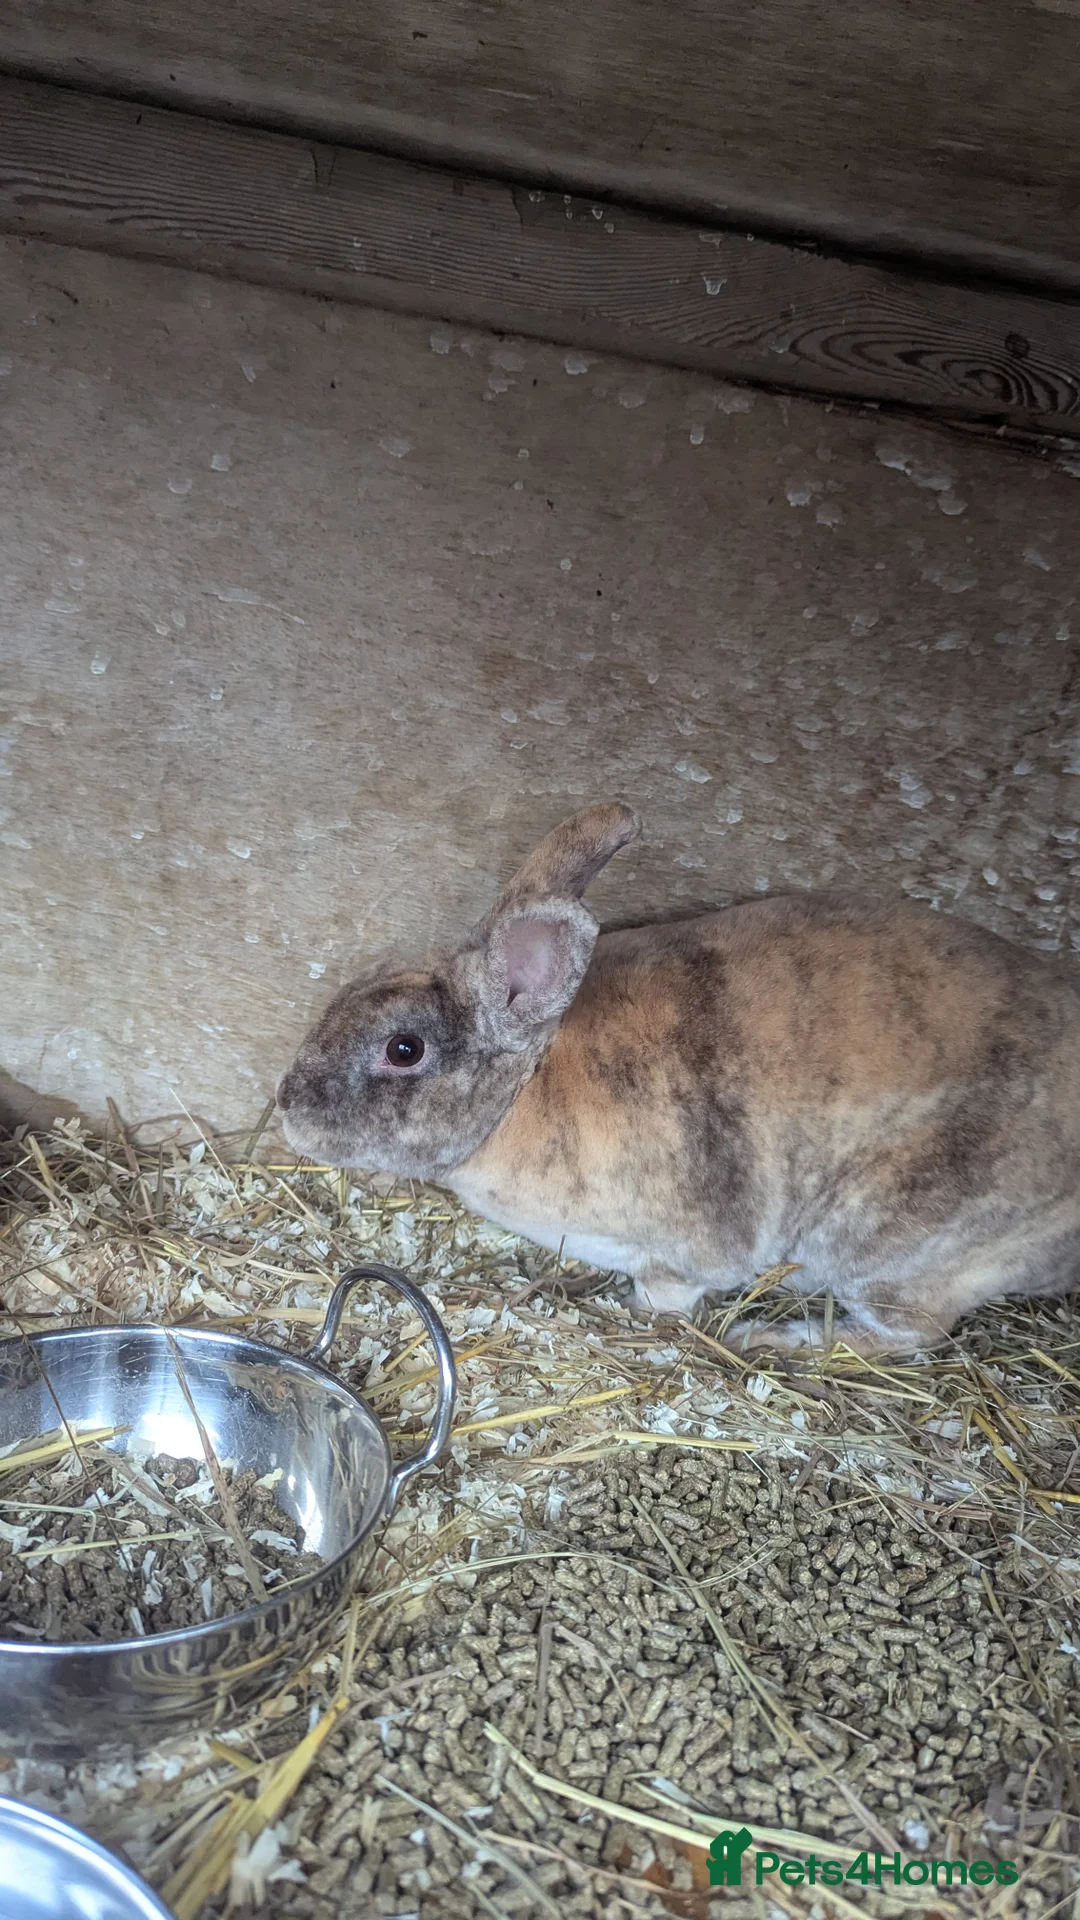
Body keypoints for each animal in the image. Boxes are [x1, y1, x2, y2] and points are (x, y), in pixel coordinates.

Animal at [277, 802, 1080, 1355]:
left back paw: (772, 1340)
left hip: (883, 1242)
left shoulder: (681, 1251)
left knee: (911, 1332)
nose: (286, 1106)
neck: (526, 1089)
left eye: (403, 1048)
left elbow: (667, 1294)